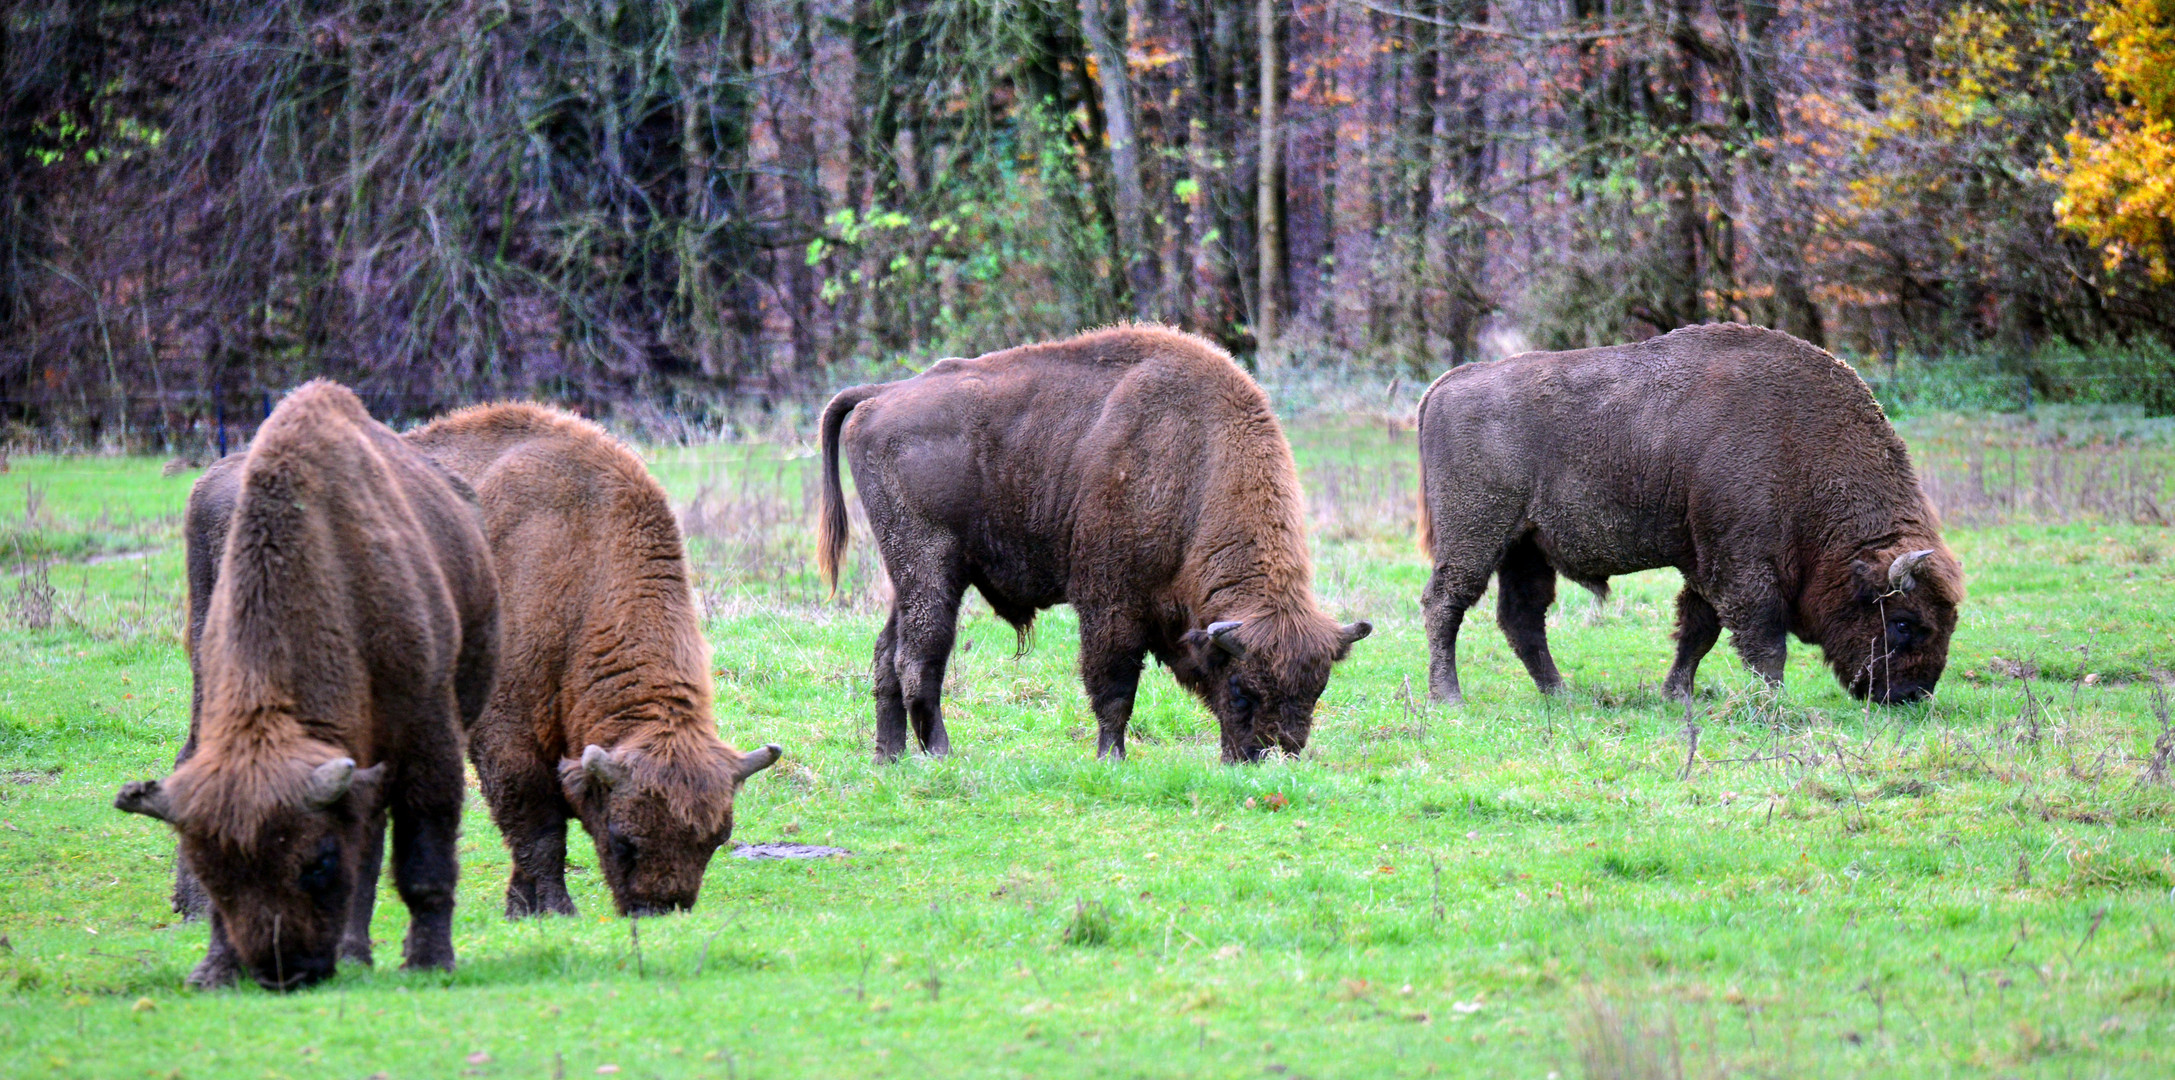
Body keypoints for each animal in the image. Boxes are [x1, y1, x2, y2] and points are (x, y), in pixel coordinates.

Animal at [117, 382, 498, 990]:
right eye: (214, 870)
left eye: (317, 862)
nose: (284, 971)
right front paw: (214, 969)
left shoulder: (428, 737)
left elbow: (423, 858)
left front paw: (429, 961)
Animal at [408, 404, 783, 917]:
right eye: (623, 839)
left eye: (716, 840)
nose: (660, 910)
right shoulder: (507, 736)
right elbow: (539, 830)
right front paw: (555, 909)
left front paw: (520, 909)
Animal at [822, 319, 1365, 756]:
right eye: (1241, 689)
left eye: (1316, 691)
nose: (1270, 756)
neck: (1198, 462)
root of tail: (881, 394)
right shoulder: (1110, 603)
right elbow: (1115, 689)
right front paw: (1111, 757)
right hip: (929, 567)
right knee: (919, 658)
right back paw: (939, 753)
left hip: (908, 577)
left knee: (887, 655)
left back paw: (888, 757)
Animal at [1418, 323, 1966, 704]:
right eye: (1904, 622)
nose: (1911, 695)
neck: (1803, 450)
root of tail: (1449, 380)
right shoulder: (1743, 567)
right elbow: (1762, 640)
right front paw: (1774, 701)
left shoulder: (1706, 566)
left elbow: (1699, 631)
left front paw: (1676, 694)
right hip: (1477, 535)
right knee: (1445, 604)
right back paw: (1449, 697)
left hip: (1525, 546)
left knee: (1522, 618)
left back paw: (1560, 694)